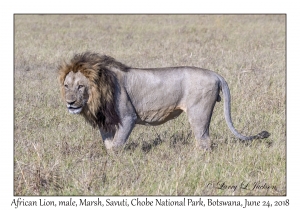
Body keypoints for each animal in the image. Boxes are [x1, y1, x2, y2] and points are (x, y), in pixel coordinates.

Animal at [58, 52, 270, 151]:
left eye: (80, 86)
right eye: (67, 86)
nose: (70, 103)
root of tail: (215, 74)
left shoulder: (128, 118)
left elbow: (117, 144)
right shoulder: (105, 121)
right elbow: (109, 145)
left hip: (198, 113)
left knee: (204, 140)